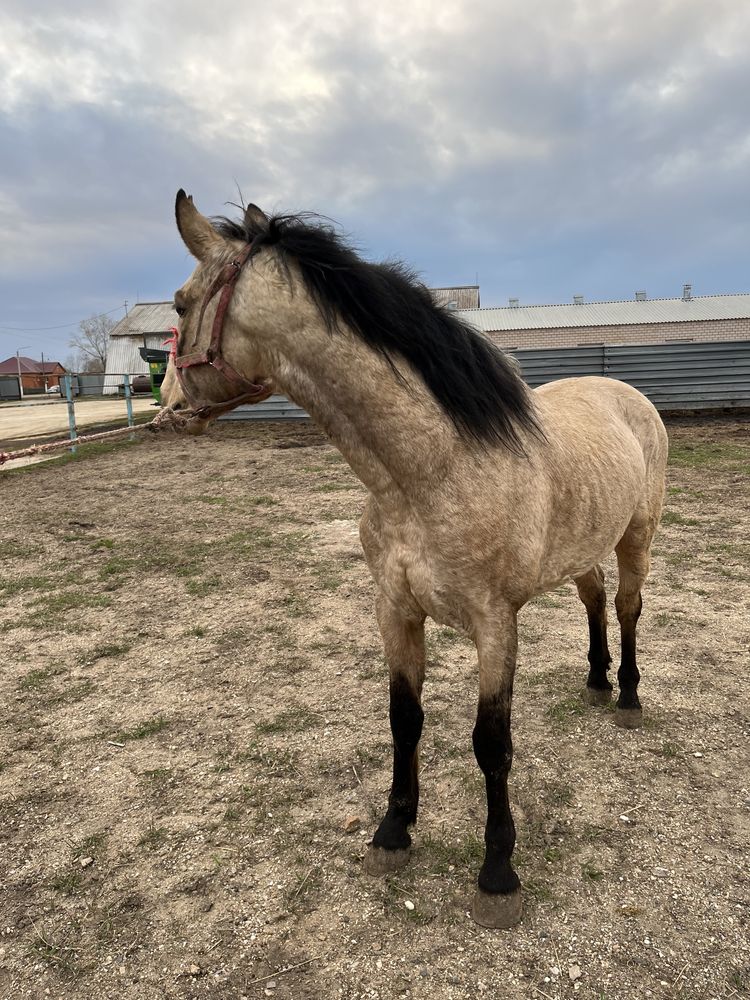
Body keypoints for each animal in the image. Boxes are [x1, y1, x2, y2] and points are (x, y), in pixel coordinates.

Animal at [160, 193, 668, 928]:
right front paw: (393, 831)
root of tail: (627, 393)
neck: (431, 469)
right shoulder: (395, 612)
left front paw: (498, 871)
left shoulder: (495, 624)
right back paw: (597, 681)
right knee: (596, 600)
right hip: (582, 549)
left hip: (637, 535)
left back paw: (626, 695)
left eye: (179, 304)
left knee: (627, 607)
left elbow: (491, 744)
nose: (167, 407)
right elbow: (406, 721)